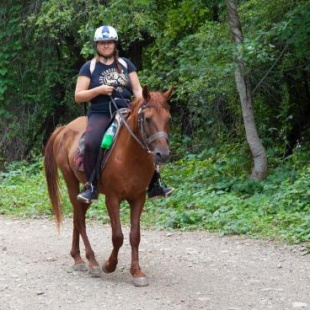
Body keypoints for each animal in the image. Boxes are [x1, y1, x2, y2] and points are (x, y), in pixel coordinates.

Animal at [43, 86, 173, 286]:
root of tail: (64, 128)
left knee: (78, 216)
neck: (130, 156)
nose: (163, 155)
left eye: (168, 119)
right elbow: (118, 236)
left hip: (87, 191)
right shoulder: (112, 198)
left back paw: (77, 258)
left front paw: (137, 272)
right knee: (80, 219)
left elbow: (135, 236)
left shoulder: (138, 198)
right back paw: (92, 262)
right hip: (71, 181)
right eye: (148, 119)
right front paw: (109, 265)